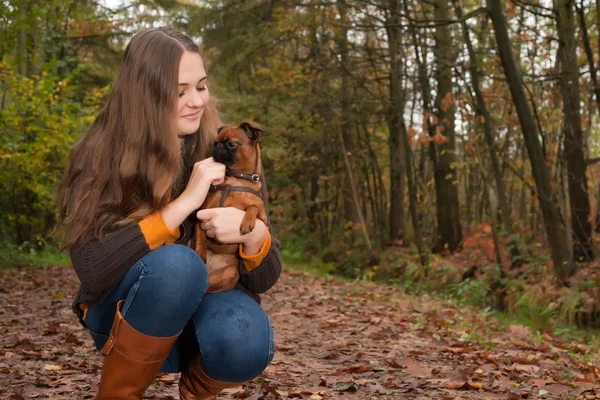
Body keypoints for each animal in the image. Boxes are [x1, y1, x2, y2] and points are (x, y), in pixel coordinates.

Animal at [191, 120, 268, 292]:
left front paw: (246, 222)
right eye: (215, 143)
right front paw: (200, 253)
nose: (217, 146)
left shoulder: (263, 219)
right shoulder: (202, 213)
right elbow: (200, 238)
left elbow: (253, 207)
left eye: (231, 144)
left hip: (232, 272)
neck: (235, 181)